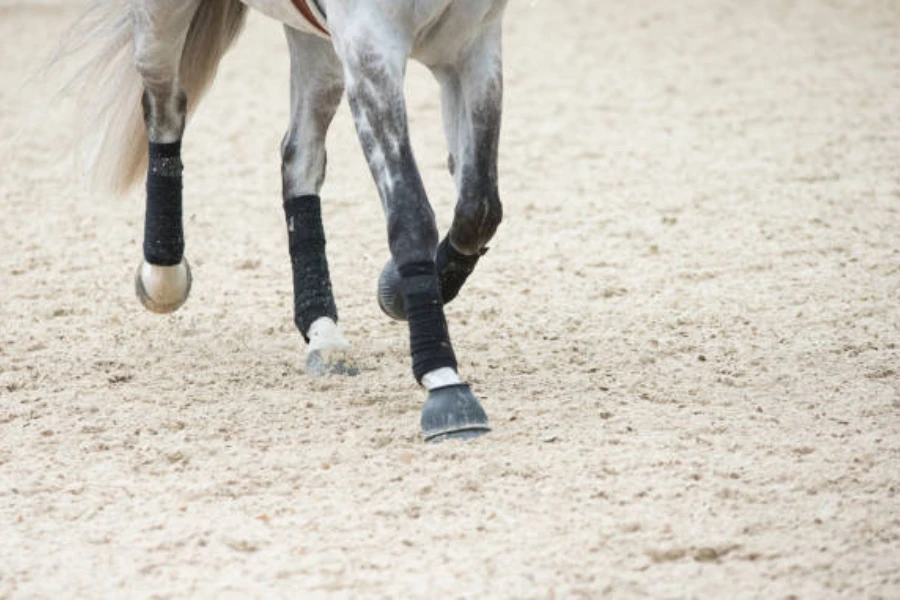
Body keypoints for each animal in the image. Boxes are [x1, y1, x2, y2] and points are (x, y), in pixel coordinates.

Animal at [62, 0, 510, 440]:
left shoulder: (471, 47)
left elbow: (479, 206)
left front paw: (398, 290)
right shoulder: (370, 53)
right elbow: (411, 213)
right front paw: (445, 386)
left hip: (317, 42)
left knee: (299, 157)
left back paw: (322, 331)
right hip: (160, 20)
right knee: (165, 107)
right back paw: (163, 277)